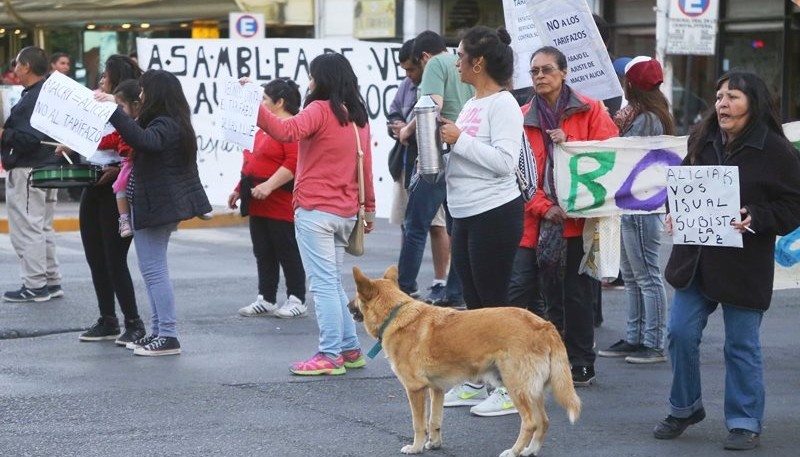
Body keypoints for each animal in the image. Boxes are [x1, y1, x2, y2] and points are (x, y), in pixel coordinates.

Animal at [350, 266, 580, 454]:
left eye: (355, 297)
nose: (347, 305)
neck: (395, 314)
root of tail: (545, 325)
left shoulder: (415, 389)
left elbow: (419, 424)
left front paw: (415, 447)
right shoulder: (437, 390)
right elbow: (434, 420)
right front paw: (434, 444)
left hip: (517, 387)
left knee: (531, 423)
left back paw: (514, 451)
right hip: (533, 391)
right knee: (544, 422)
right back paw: (529, 451)